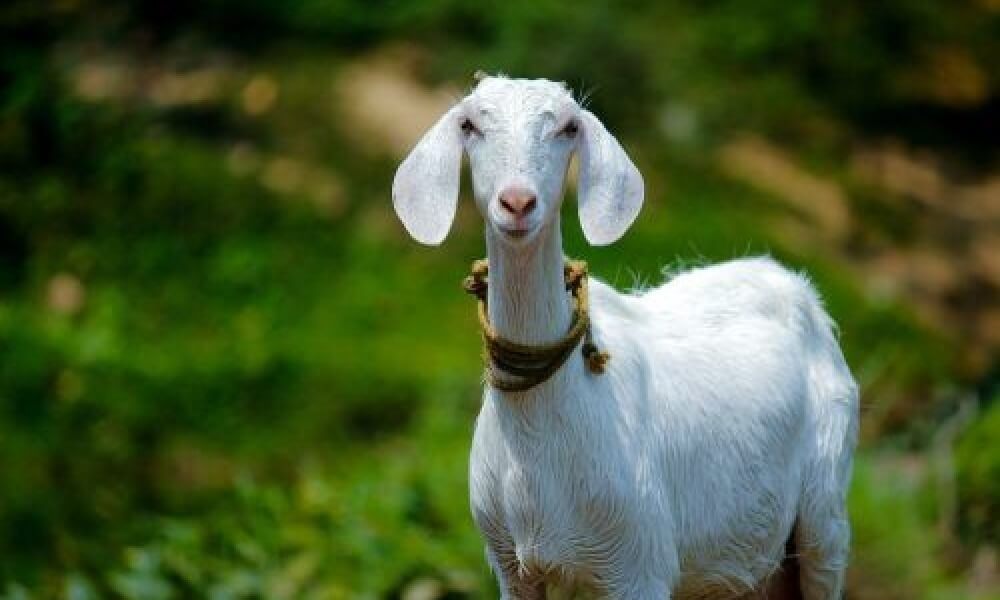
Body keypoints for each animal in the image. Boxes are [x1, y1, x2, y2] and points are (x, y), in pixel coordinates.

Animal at [392, 75, 859, 600]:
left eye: (569, 126)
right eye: (470, 124)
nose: (517, 203)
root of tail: (795, 285)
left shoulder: (639, 562)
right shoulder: (511, 565)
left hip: (826, 511)